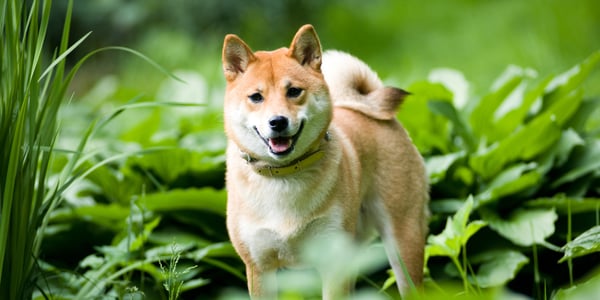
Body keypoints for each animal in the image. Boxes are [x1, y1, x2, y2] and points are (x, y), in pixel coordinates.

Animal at [223, 24, 428, 298]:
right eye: (256, 97)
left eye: (293, 91)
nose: (277, 121)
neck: (285, 176)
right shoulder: (259, 269)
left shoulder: (332, 262)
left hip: (403, 242)